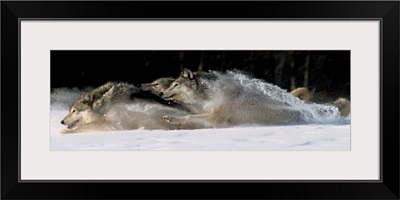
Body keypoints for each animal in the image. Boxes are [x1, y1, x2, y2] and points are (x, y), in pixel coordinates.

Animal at [59, 80, 192, 134]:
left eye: (74, 111)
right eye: (70, 111)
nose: (62, 121)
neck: (105, 104)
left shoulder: (112, 122)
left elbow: (84, 127)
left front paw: (65, 132)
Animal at [161, 68, 304, 128]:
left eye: (175, 84)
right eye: (172, 84)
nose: (161, 93)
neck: (209, 92)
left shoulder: (217, 117)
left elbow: (189, 116)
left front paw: (173, 119)